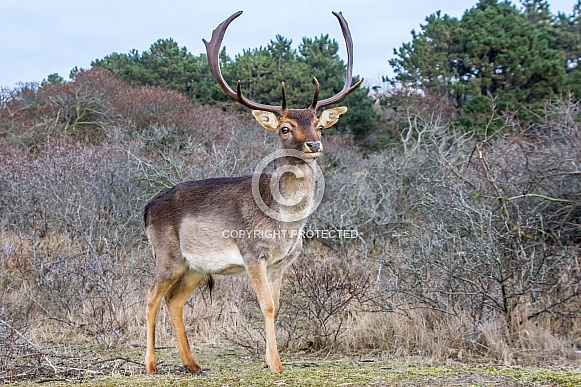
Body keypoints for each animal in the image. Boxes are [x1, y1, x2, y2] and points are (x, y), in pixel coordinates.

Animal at [144, 10, 362, 374]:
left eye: (319, 124)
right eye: (285, 127)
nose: (314, 144)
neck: (285, 223)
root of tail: (146, 209)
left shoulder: (282, 261)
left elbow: (276, 304)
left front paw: (272, 359)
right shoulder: (251, 253)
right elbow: (266, 305)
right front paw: (275, 364)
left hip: (195, 267)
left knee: (174, 302)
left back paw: (194, 364)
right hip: (168, 255)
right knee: (150, 298)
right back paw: (151, 365)